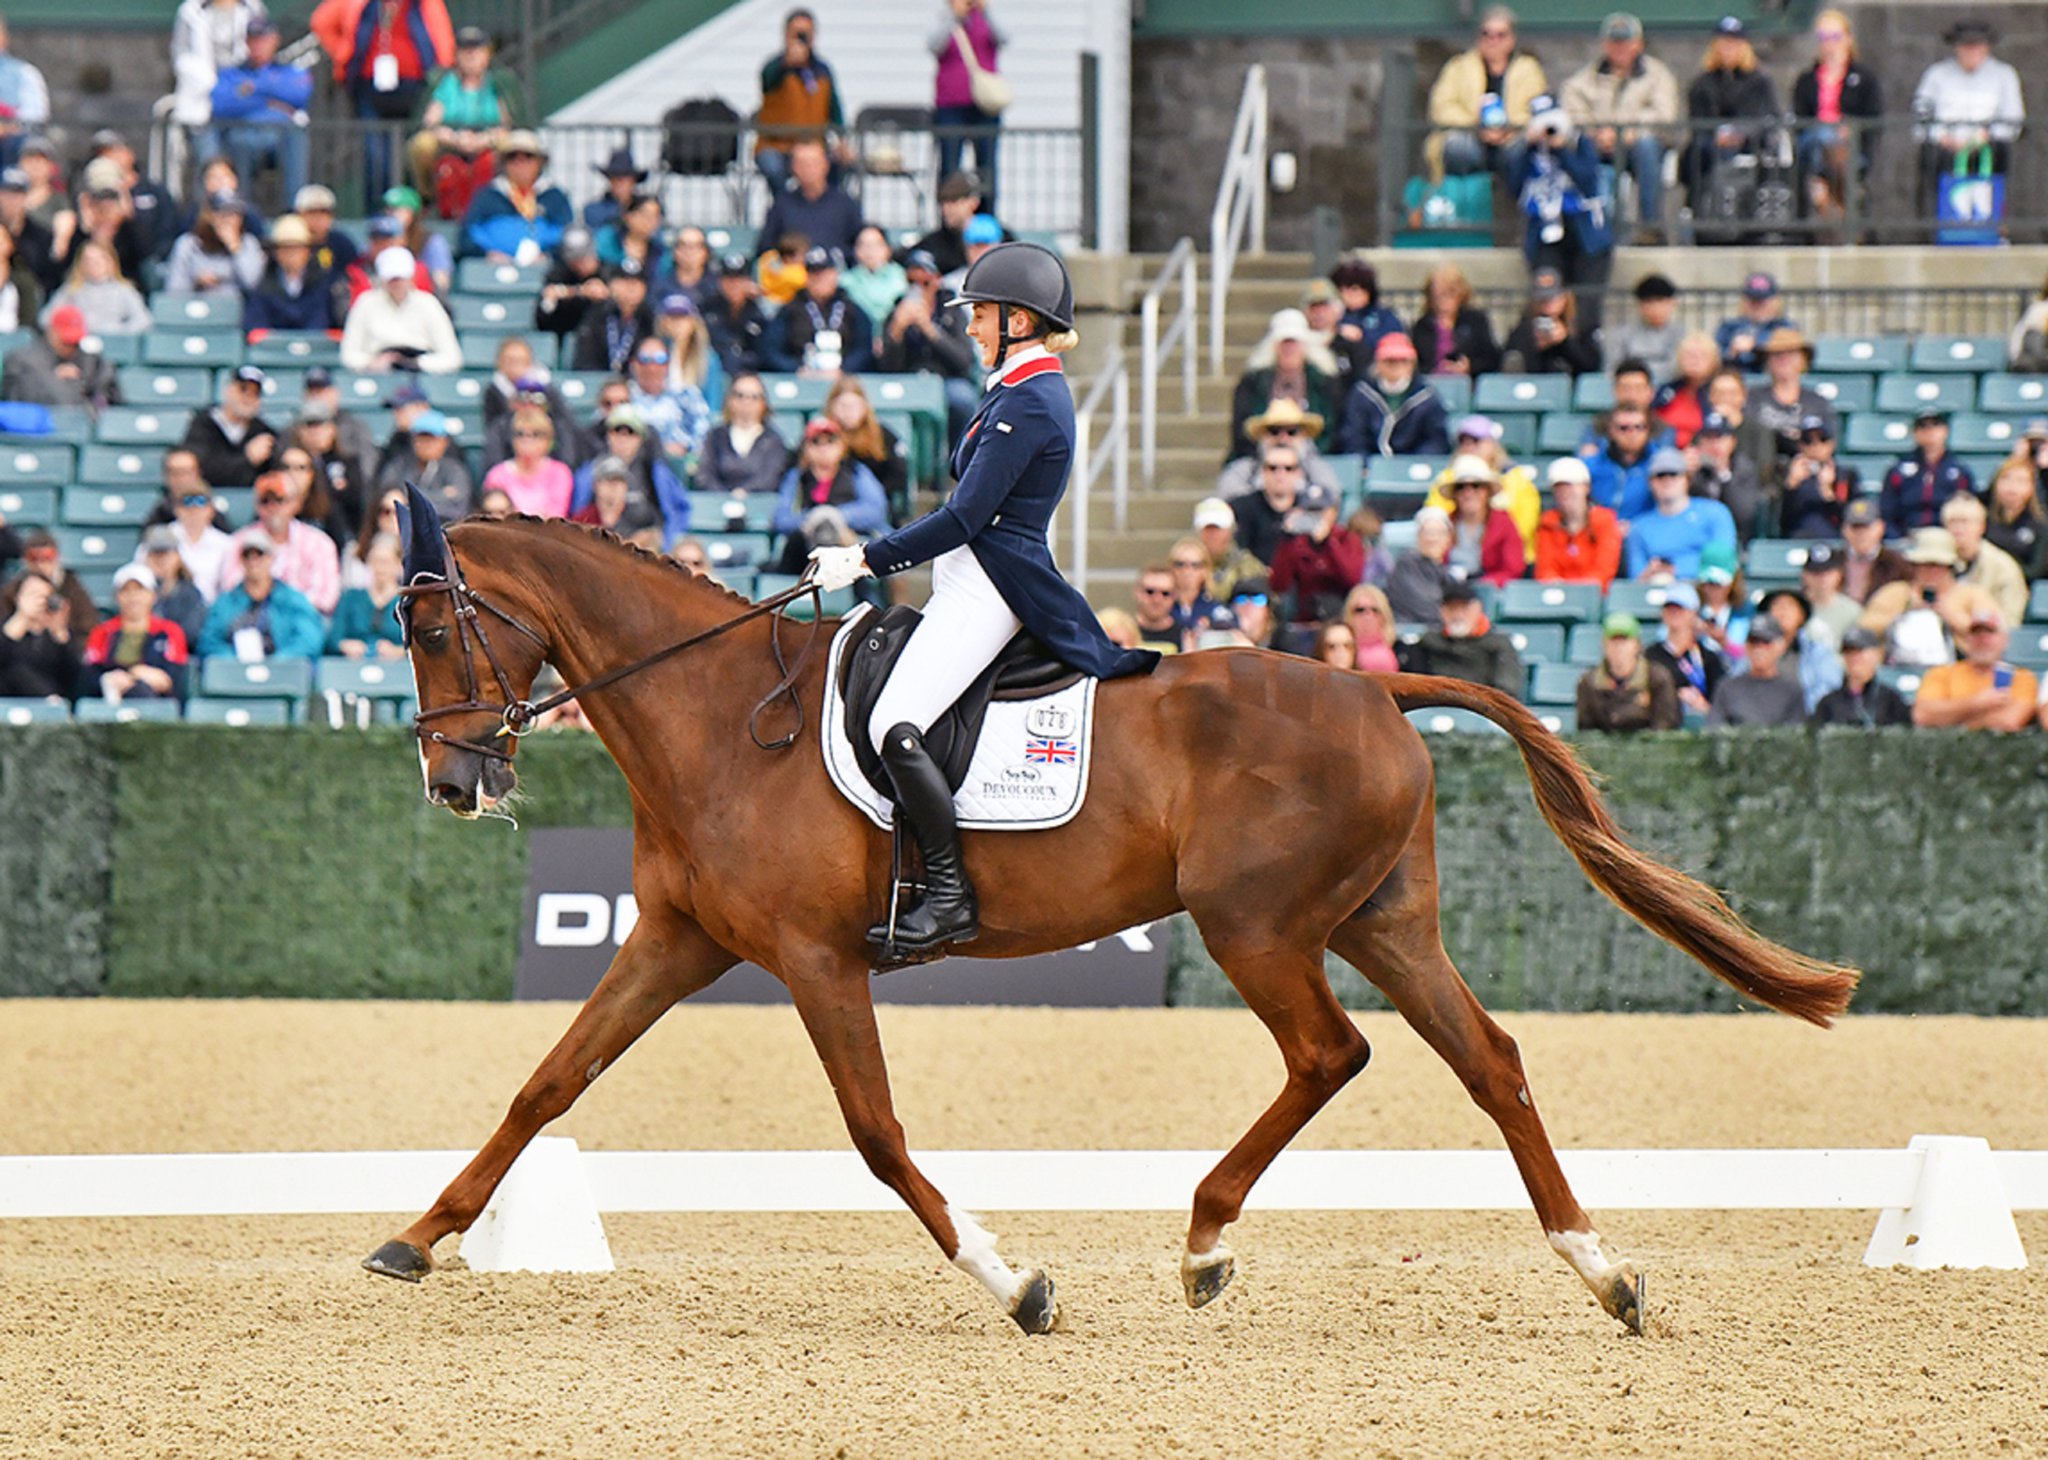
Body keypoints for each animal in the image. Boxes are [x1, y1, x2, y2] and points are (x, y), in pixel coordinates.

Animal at [364, 510, 1858, 1335]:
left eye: (433, 632)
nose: (451, 783)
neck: (725, 715)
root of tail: (1374, 687)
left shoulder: (811, 960)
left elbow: (875, 1134)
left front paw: (1014, 1282)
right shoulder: (675, 940)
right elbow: (546, 1082)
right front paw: (416, 1240)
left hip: (1260, 925)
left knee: (1331, 1056)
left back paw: (1204, 1243)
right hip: (1381, 923)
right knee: (1487, 1060)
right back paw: (1601, 1274)